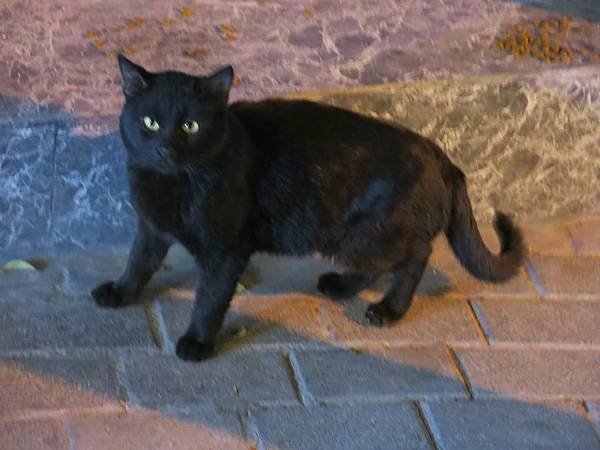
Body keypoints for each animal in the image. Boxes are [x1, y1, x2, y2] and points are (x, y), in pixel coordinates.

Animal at [91, 55, 524, 362]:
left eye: (190, 127)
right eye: (149, 122)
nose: (164, 148)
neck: (172, 183)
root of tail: (440, 155)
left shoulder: (226, 250)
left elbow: (209, 300)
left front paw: (197, 342)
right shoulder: (151, 228)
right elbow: (138, 263)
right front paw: (120, 292)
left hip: (368, 234)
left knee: (415, 256)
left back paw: (390, 309)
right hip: (356, 238)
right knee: (385, 264)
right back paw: (341, 286)